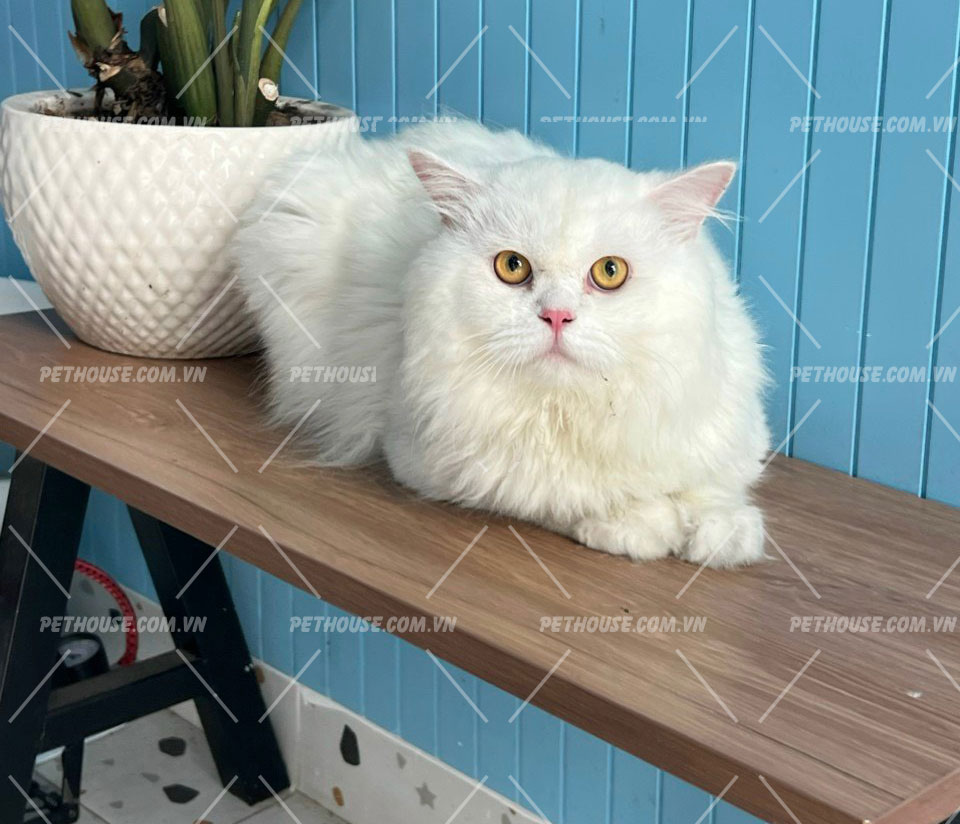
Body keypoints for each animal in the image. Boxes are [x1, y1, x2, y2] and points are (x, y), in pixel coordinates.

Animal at [231, 119, 770, 567]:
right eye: (512, 267)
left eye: (610, 272)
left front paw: (722, 530)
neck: (570, 412)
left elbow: (715, 485)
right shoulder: (429, 460)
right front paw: (640, 524)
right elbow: (558, 494)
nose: (556, 316)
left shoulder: (724, 432)